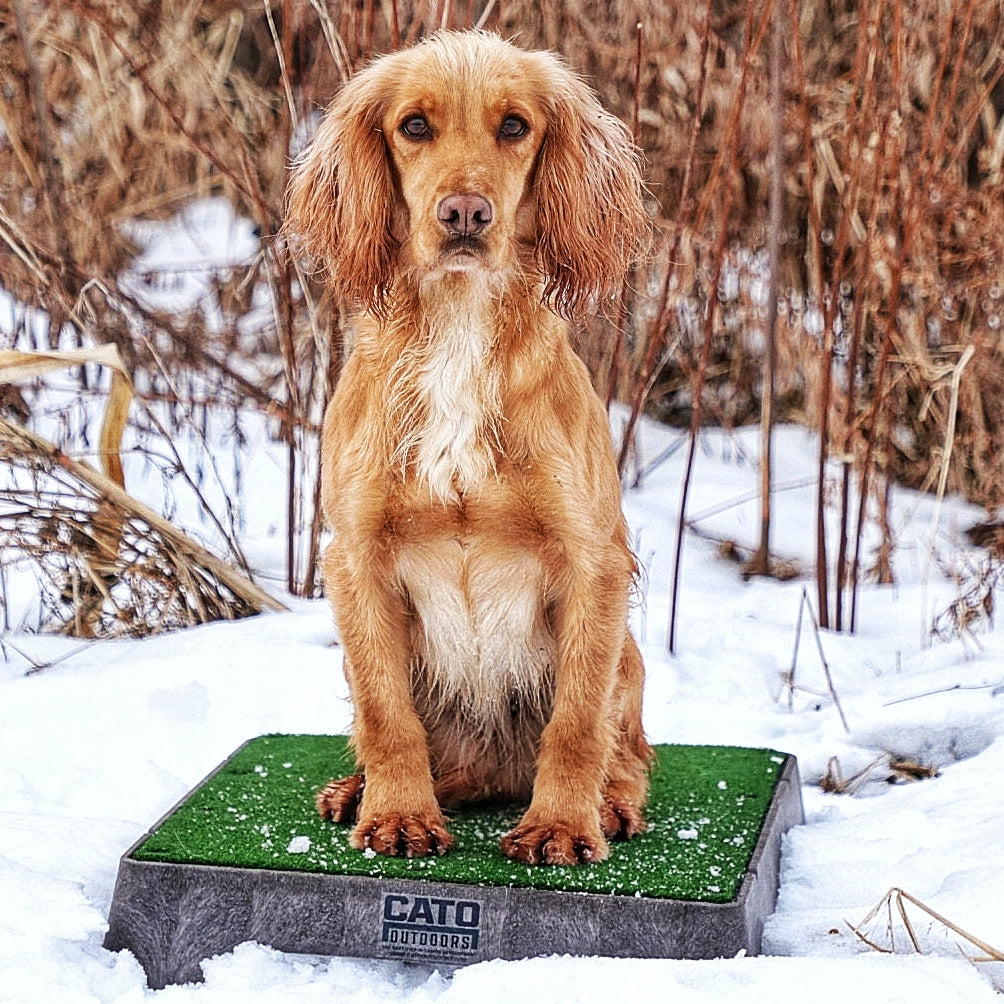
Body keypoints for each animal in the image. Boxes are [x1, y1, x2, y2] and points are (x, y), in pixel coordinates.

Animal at [287, 29, 654, 863]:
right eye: (414, 126)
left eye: (515, 126)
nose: (464, 212)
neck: (458, 326)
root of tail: (492, 772)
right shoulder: (355, 557)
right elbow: (387, 716)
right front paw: (397, 814)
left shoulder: (595, 559)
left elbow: (577, 722)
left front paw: (562, 824)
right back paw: (361, 791)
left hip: (630, 661)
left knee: (631, 754)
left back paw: (611, 803)